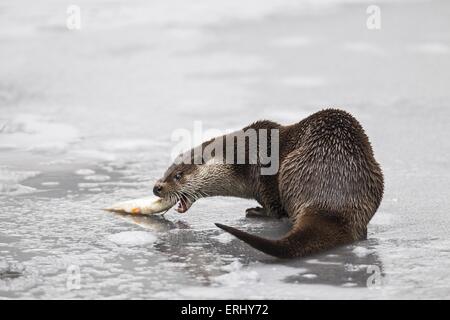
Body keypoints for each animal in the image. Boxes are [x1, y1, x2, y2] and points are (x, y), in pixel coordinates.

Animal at [152, 109, 384, 258]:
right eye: (167, 171)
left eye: (178, 175)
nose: (157, 187)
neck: (243, 158)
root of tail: (330, 203)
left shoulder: (264, 178)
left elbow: (274, 206)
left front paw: (258, 210)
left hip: (291, 168)